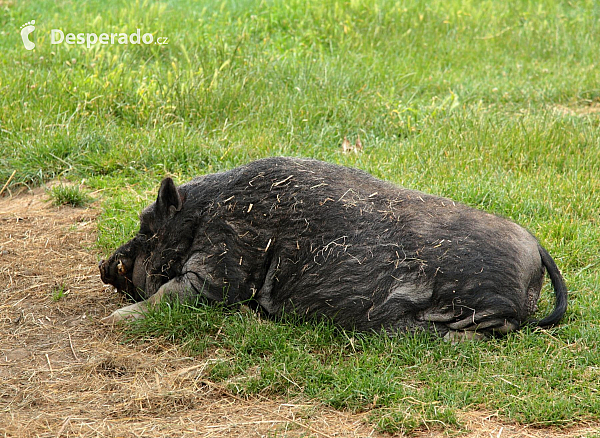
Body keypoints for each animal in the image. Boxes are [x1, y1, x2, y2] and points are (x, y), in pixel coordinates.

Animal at [98, 157, 568, 338]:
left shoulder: (224, 259)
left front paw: (114, 320)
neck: (201, 216)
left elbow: (173, 292)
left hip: (482, 304)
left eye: (147, 226)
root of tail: (537, 248)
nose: (104, 264)